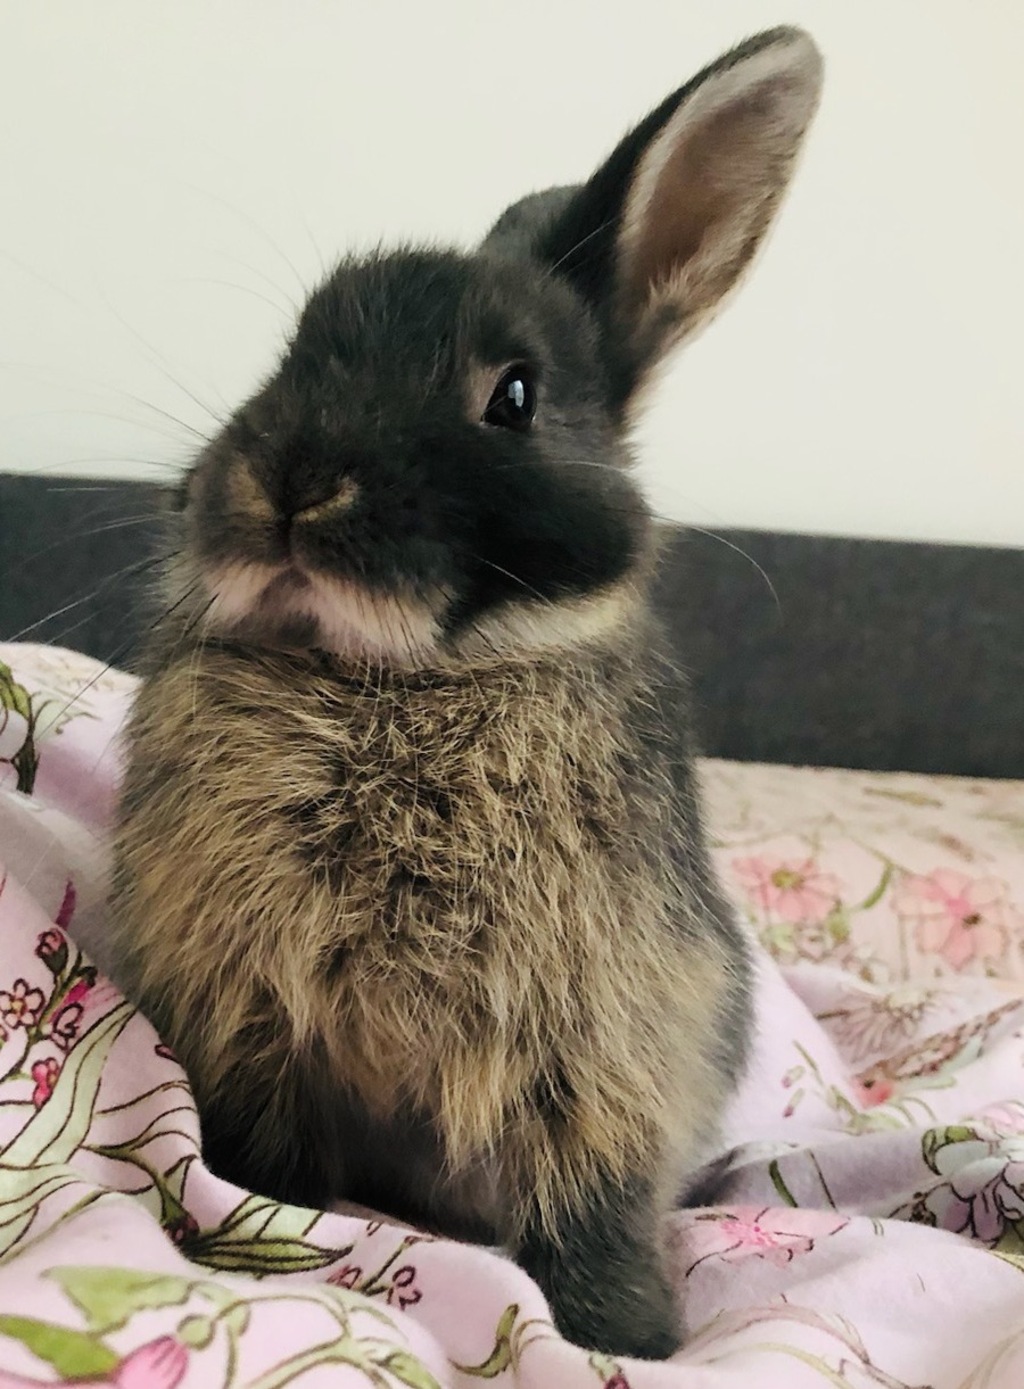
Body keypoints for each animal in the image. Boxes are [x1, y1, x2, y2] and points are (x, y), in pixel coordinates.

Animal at [107, 26, 822, 1360]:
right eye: (290, 350)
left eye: (515, 395)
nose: (293, 481)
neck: (398, 678)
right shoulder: (251, 1016)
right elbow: (264, 1161)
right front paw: (252, 1239)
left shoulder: (596, 1056)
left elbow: (589, 1211)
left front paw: (630, 1341)